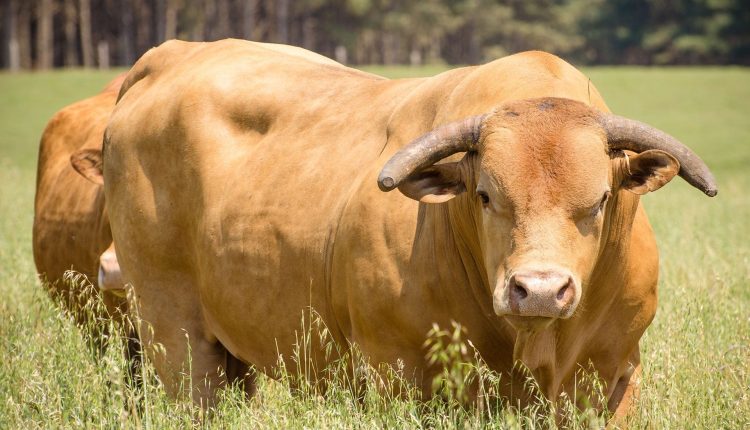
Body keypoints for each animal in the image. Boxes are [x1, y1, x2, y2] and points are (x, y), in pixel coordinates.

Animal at [82, 40, 716, 416]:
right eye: (485, 195)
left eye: (601, 200)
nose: (538, 291)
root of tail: (173, 54)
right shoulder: (397, 372)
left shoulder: (614, 375)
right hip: (175, 335)